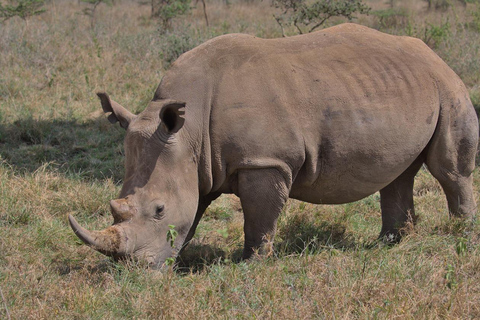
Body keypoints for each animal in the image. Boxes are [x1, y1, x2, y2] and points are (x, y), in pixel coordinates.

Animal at [69, 23, 478, 268]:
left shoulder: (265, 161)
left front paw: (250, 264)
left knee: (449, 171)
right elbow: (195, 212)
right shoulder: (198, 163)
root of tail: (432, 53)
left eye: (158, 210)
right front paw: (177, 258)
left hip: (448, 86)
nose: (133, 271)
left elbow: (259, 216)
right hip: (402, 85)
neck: (190, 131)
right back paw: (388, 245)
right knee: (398, 173)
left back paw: (460, 235)